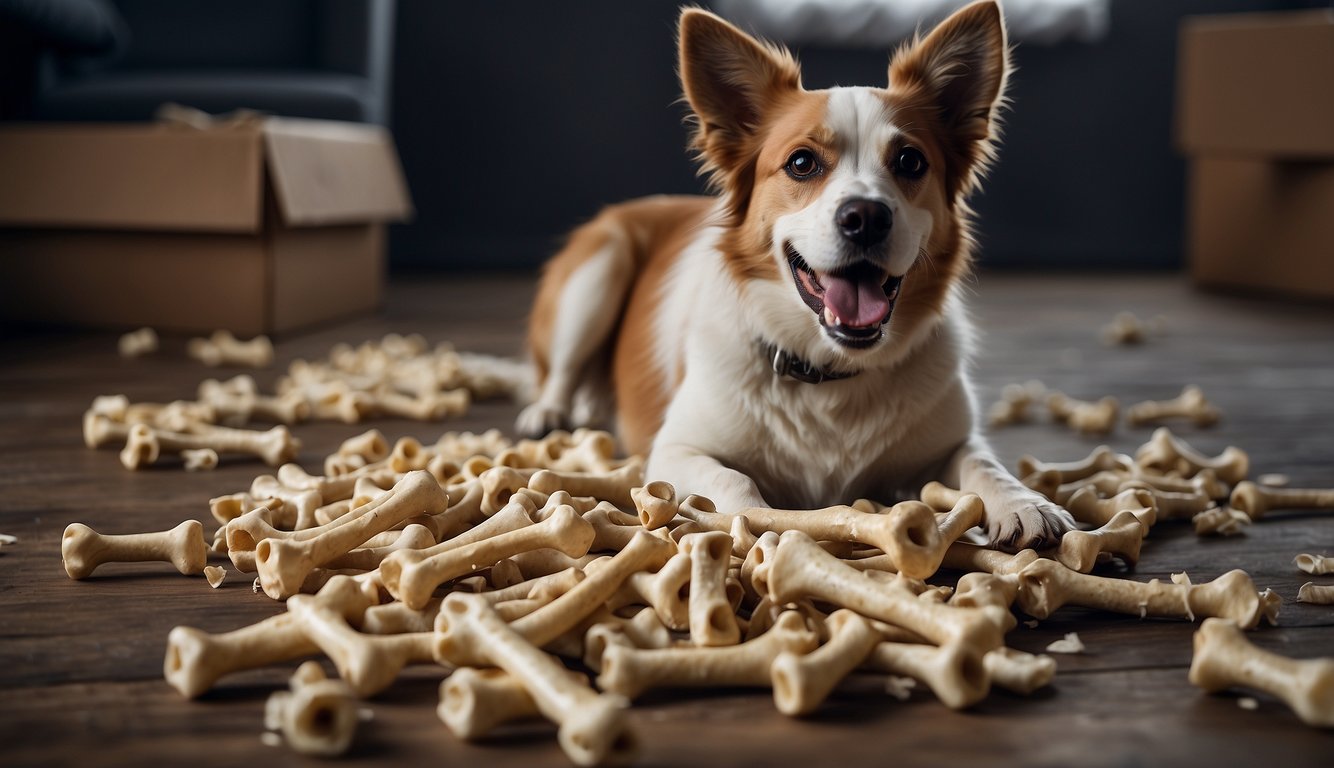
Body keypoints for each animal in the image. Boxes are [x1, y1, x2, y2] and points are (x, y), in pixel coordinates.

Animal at [517, 0, 1072, 552]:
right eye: (802, 163)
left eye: (910, 161)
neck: (830, 373)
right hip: (599, 272)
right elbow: (734, 481)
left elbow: (984, 463)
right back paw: (547, 415)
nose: (866, 217)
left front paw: (1025, 503)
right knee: (558, 375)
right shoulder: (676, 449)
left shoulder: (952, 441)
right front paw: (763, 526)